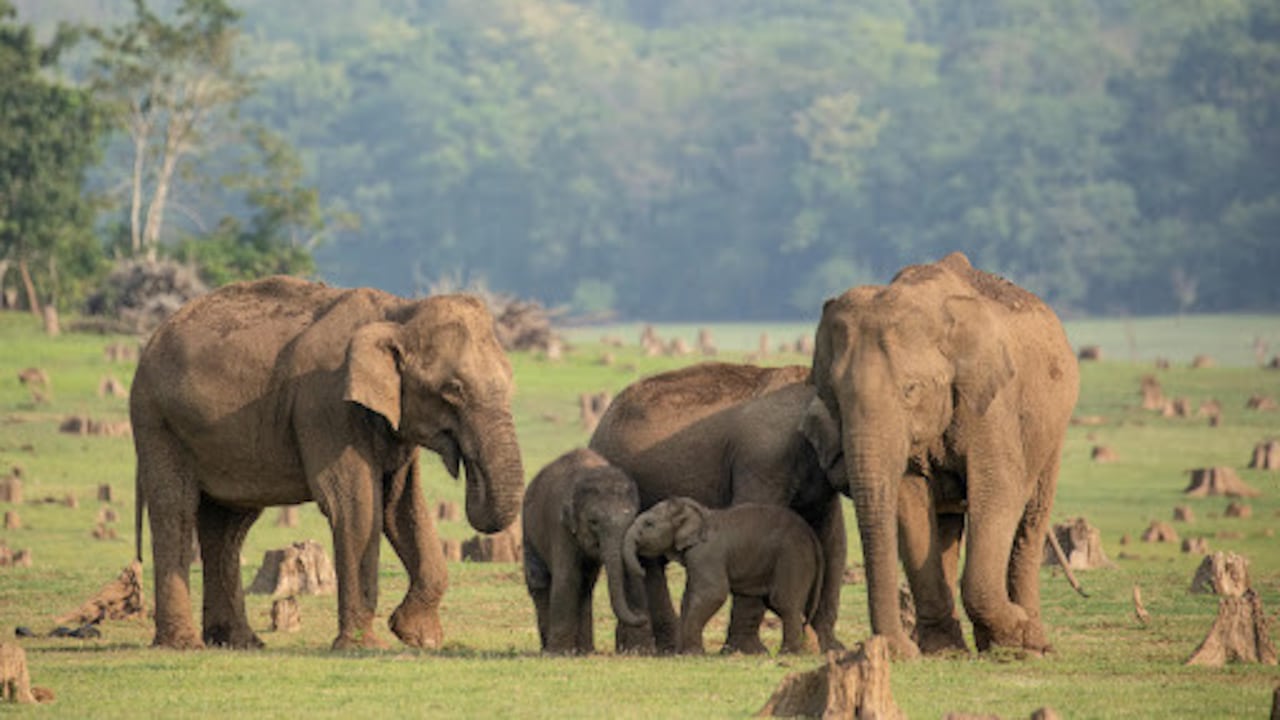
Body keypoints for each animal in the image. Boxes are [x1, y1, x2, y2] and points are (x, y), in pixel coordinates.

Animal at [129, 275, 524, 651]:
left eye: (510, 380)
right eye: (452, 390)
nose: (466, 465)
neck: (399, 311)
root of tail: (151, 340)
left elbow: (403, 507)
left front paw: (418, 637)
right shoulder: (326, 406)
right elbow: (357, 507)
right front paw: (367, 646)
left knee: (228, 525)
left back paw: (238, 642)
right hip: (157, 422)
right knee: (176, 510)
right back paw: (184, 644)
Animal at [521, 448, 647, 654]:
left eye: (633, 519)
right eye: (593, 522)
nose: (642, 616)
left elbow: (629, 574)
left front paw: (640, 651)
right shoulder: (560, 527)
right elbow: (567, 576)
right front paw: (559, 654)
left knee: (586, 585)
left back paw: (585, 651)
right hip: (528, 530)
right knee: (539, 580)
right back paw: (549, 650)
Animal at [623, 498, 824, 655]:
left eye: (649, 524)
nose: (642, 569)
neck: (698, 512)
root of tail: (812, 535)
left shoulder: (706, 554)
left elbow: (712, 594)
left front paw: (693, 654)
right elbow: (688, 598)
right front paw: (683, 653)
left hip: (792, 558)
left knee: (782, 602)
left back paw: (788, 653)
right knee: (781, 604)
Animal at [806, 251, 1079, 658]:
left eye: (910, 389)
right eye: (833, 396)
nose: (898, 650)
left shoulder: (990, 403)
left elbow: (999, 489)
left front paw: (1015, 632)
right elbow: (909, 501)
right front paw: (940, 651)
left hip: (1053, 429)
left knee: (1031, 516)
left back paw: (1034, 642)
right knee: (947, 524)